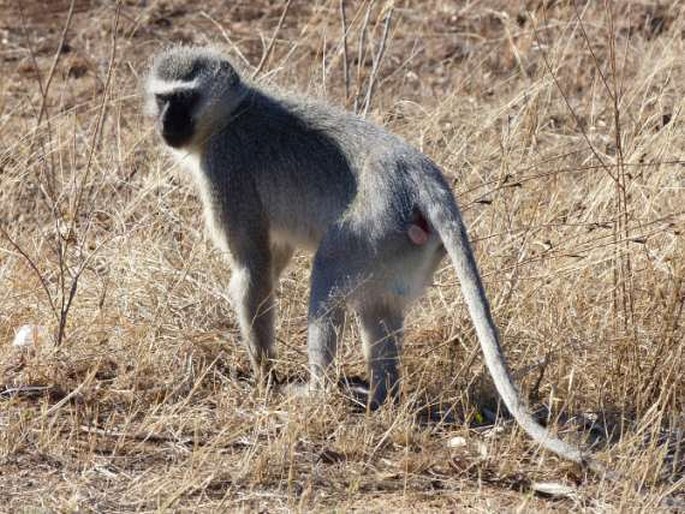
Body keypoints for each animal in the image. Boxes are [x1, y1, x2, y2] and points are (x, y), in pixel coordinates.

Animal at [146, 46, 604, 470]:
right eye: (162, 98)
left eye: (183, 99)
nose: (165, 123)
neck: (232, 112)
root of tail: (423, 178)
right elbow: (273, 258)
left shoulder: (227, 167)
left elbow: (252, 267)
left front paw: (263, 373)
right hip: (403, 246)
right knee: (378, 307)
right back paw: (383, 397)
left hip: (371, 227)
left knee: (328, 275)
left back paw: (318, 389)